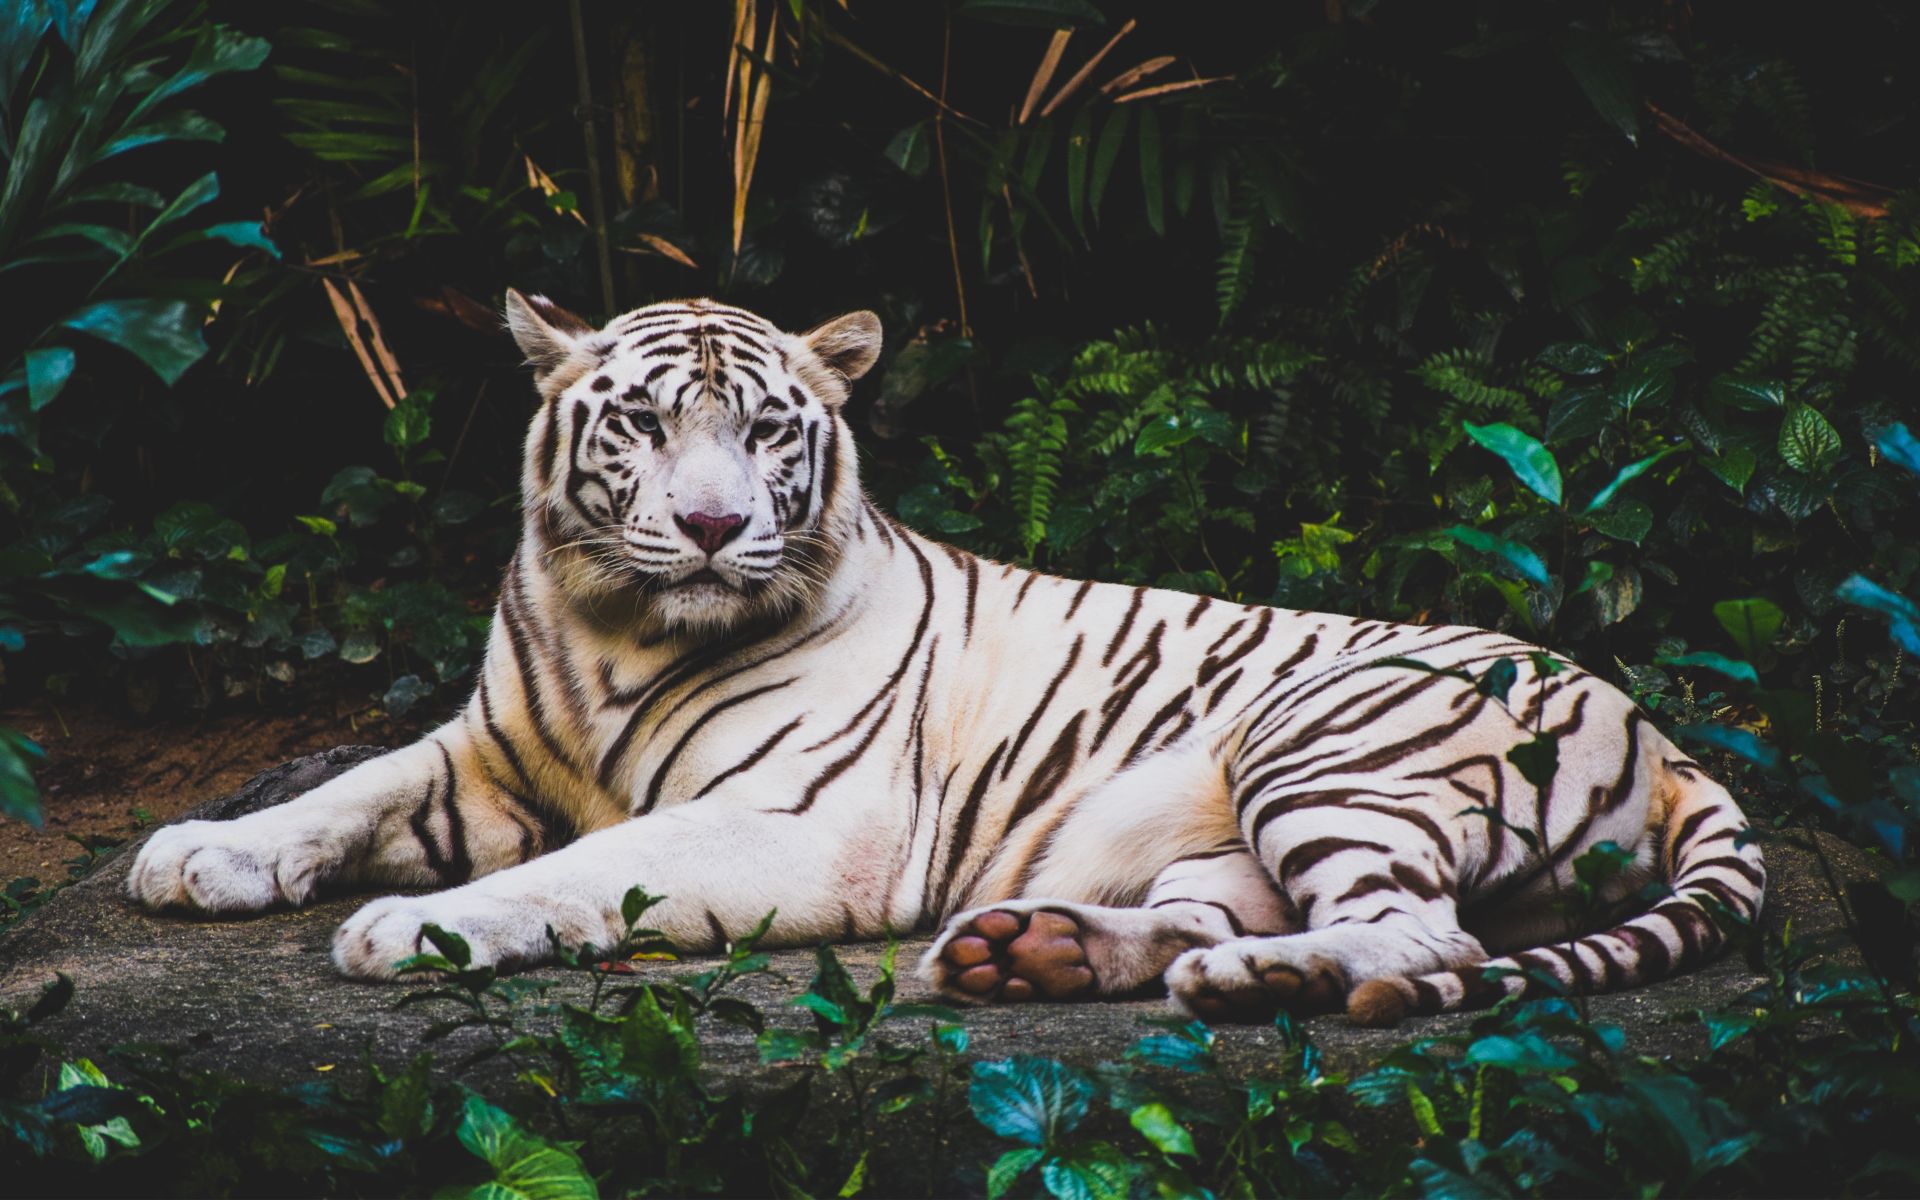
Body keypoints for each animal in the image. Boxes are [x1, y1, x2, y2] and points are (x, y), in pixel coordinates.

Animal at [127, 295, 1758, 1021]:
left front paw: (413, 929)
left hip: (1326, 741)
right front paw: (200, 853)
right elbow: (345, 787)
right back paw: (1035, 950)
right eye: (644, 424)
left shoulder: (798, 824)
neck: (614, 628)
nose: (712, 526)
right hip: (1224, 826)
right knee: (1227, 911)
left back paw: (1257, 981)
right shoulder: (485, 750)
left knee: (1428, 939)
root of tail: (1666, 737)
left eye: (766, 431)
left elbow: (580, 872)